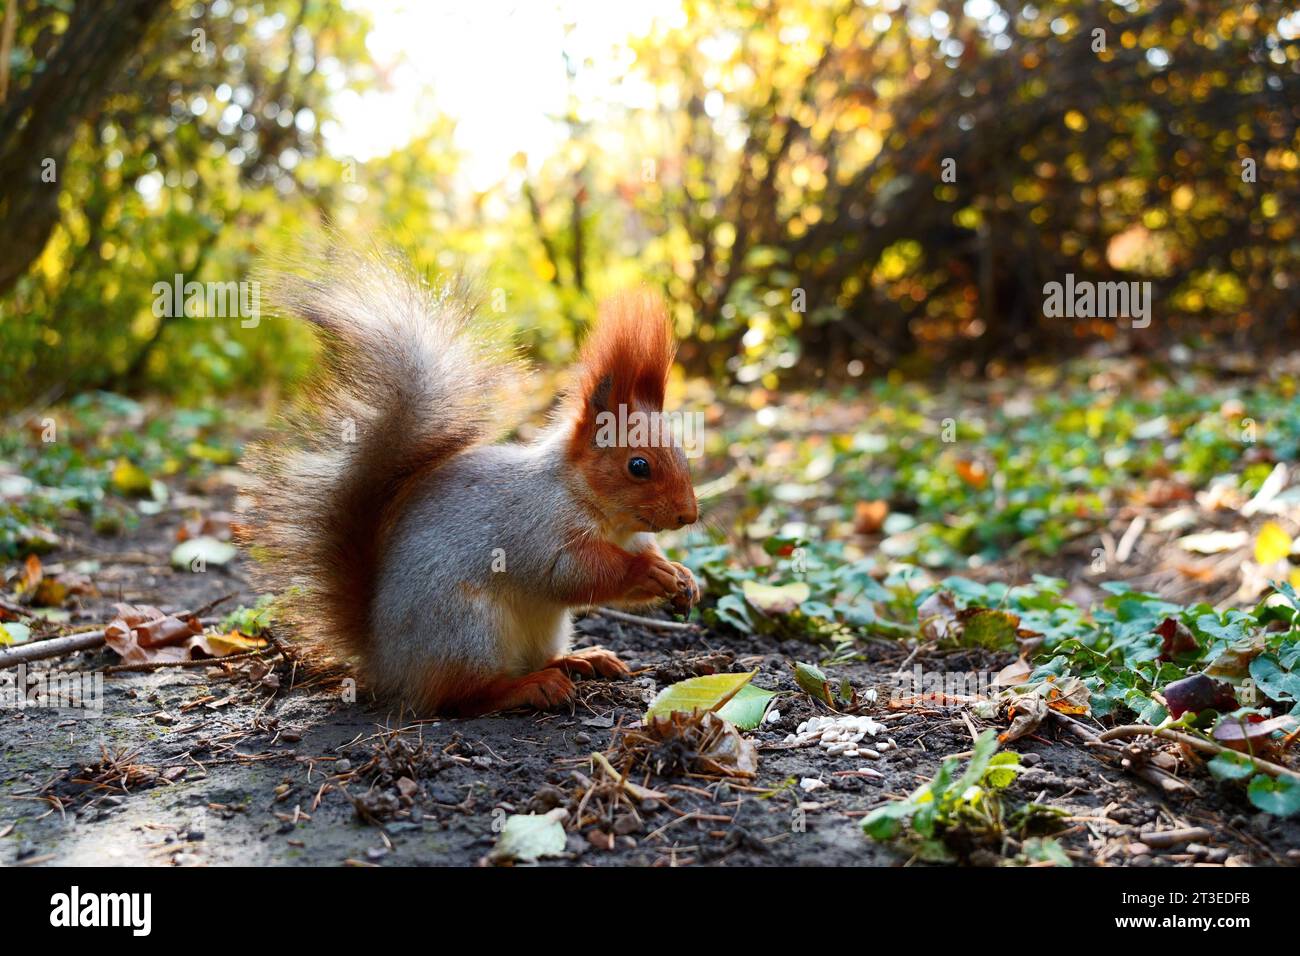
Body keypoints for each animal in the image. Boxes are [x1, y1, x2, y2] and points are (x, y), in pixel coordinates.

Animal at [244, 246, 700, 716]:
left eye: (683, 452)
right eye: (639, 466)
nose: (688, 515)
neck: (603, 513)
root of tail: (385, 661)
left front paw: (683, 577)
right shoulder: (537, 528)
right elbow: (570, 574)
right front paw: (648, 571)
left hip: (543, 626)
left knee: (531, 659)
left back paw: (581, 659)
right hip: (465, 627)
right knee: (465, 693)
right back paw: (533, 686)